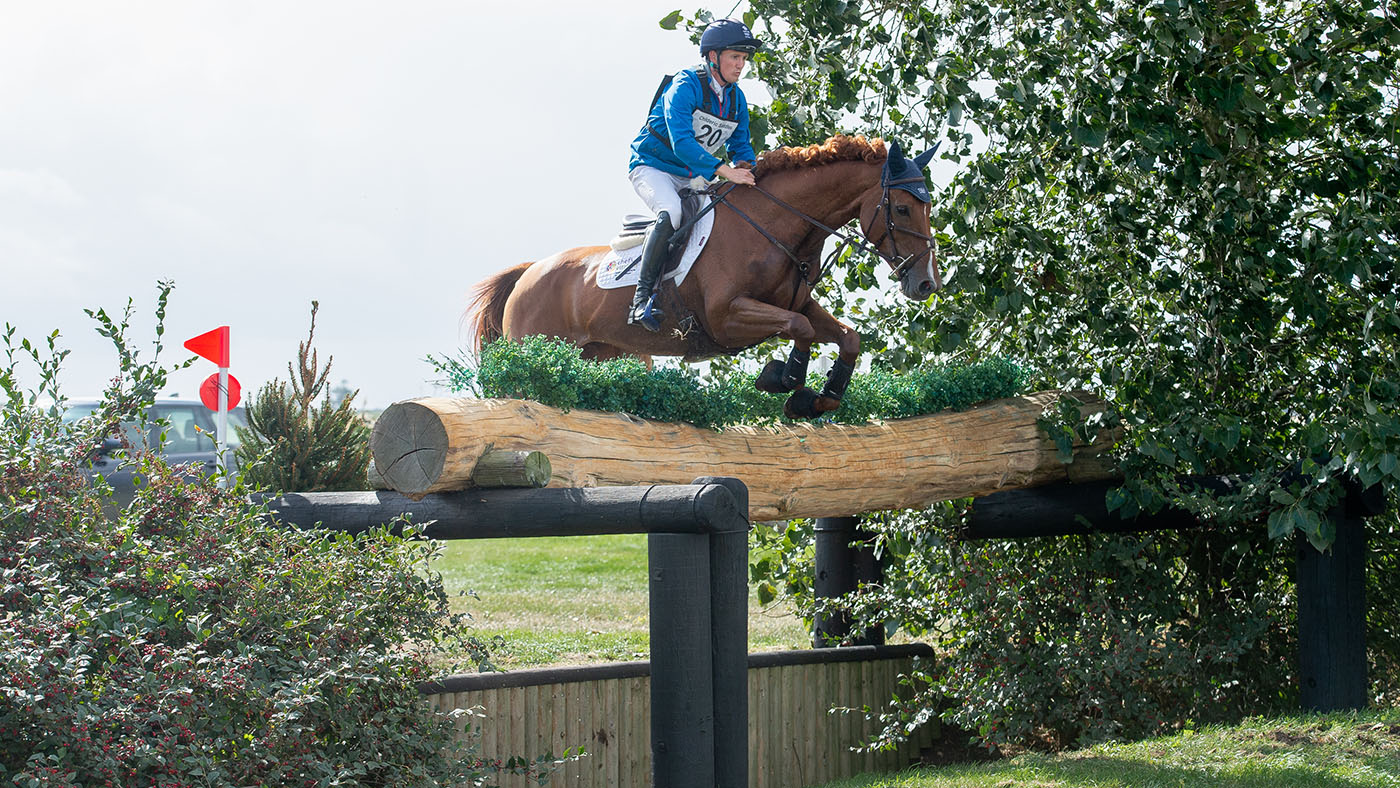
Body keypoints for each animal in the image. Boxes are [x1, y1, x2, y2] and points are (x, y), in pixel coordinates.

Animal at [466, 135, 942, 419]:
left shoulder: (796, 303)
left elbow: (847, 337)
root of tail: (529, 272)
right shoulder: (727, 317)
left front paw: (817, 397)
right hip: (535, 348)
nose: (926, 284)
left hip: (601, 354)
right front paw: (782, 379)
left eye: (928, 206)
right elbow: (800, 328)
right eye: (902, 209)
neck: (773, 224)